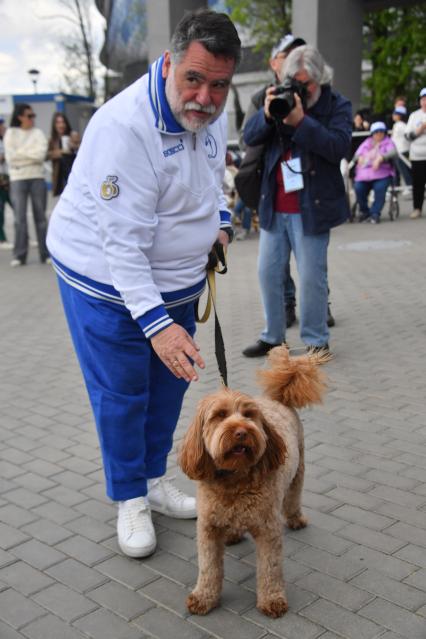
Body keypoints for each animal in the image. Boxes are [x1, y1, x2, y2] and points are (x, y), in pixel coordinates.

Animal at [178, 348, 324, 616]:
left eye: (248, 415)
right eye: (219, 415)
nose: (241, 431)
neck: (235, 478)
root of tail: (278, 399)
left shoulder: (268, 530)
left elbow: (270, 568)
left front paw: (272, 599)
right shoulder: (208, 527)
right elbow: (208, 567)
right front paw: (204, 597)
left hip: (298, 470)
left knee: (293, 498)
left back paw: (296, 519)